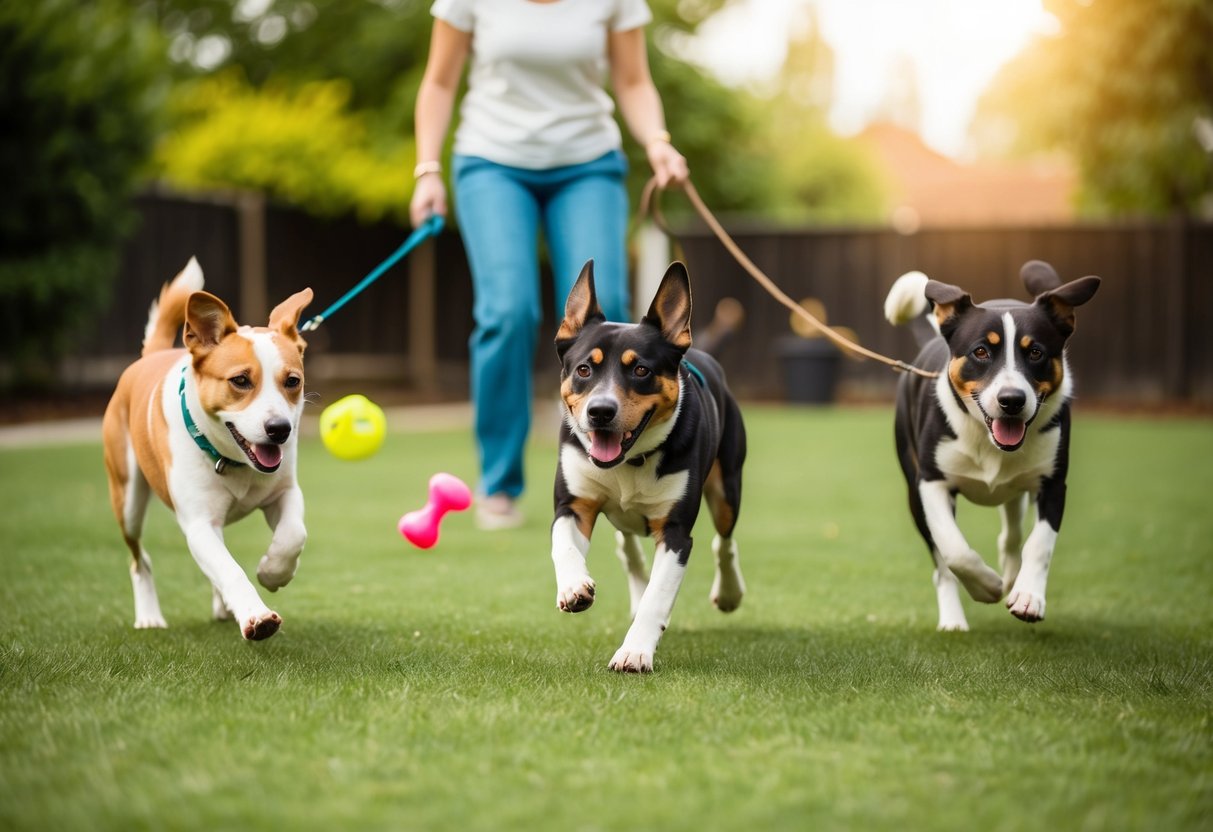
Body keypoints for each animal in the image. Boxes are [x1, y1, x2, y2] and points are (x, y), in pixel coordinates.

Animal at [102, 260, 315, 645]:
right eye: (241, 381)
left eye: (292, 381)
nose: (280, 429)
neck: (233, 461)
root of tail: (151, 355)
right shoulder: (198, 523)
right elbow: (229, 569)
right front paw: (257, 616)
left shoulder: (285, 492)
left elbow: (293, 535)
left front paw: (272, 572)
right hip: (127, 500)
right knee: (140, 560)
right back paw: (150, 616)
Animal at [553, 264, 747, 674]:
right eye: (584, 369)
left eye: (641, 369)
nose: (600, 411)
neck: (631, 460)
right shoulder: (573, 504)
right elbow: (563, 544)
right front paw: (574, 586)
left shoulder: (675, 533)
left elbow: (658, 595)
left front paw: (635, 652)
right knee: (626, 541)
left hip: (727, 486)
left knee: (724, 540)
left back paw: (728, 593)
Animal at [883, 264, 1101, 635]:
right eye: (981, 351)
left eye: (1036, 352)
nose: (1012, 400)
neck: (987, 439)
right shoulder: (931, 483)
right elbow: (954, 550)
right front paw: (987, 586)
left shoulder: (1053, 482)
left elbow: (1039, 543)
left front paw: (1027, 597)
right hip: (913, 488)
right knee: (941, 562)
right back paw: (954, 619)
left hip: (1017, 487)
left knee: (1012, 531)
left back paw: (1013, 574)